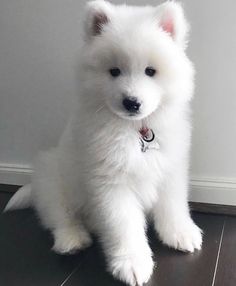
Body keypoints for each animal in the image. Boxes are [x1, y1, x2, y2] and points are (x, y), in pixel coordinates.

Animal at [6, 1, 204, 284]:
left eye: (150, 71)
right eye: (114, 71)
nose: (131, 102)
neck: (136, 130)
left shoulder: (170, 169)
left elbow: (173, 205)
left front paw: (180, 233)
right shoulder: (111, 184)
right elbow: (124, 225)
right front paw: (132, 263)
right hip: (52, 178)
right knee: (60, 216)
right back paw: (71, 239)